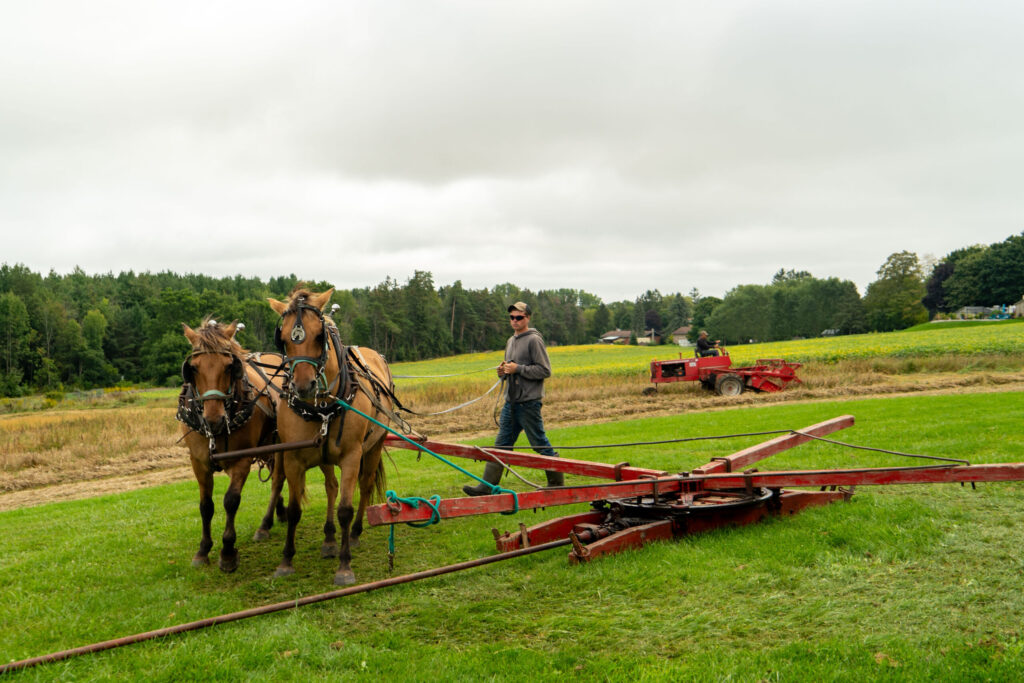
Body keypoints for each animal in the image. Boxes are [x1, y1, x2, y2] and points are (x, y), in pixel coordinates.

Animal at [178, 319, 290, 573]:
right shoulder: (198, 461)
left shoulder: (242, 459)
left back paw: (265, 524)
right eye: (193, 368)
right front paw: (203, 550)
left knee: (278, 480)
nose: (214, 420)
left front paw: (228, 552)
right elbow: (206, 505)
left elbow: (230, 501)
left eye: (230, 367)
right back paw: (279, 513)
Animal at [264, 288, 391, 589]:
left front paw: (344, 567)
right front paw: (286, 561)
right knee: (331, 487)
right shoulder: (293, 458)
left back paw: (354, 534)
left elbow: (345, 507)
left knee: (365, 486)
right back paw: (330, 538)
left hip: (374, 446)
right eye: (283, 339)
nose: (303, 386)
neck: (321, 407)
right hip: (323, 456)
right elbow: (295, 510)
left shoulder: (351, 456)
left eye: (319, 336)